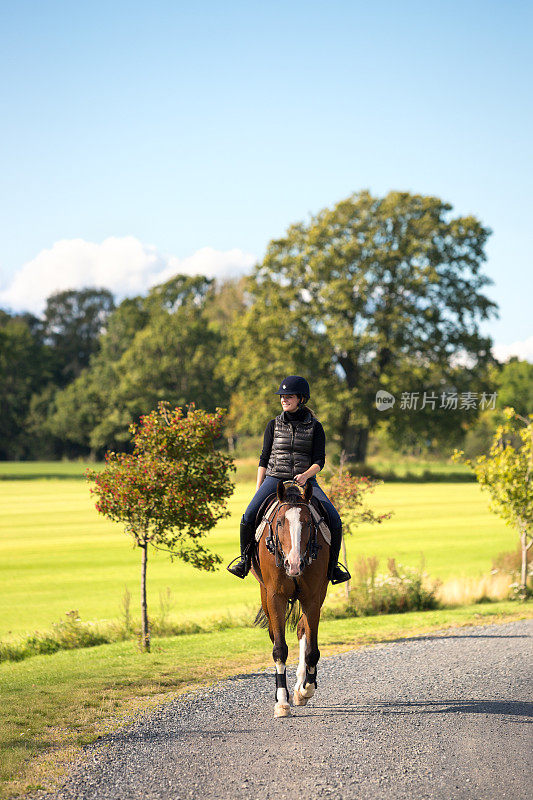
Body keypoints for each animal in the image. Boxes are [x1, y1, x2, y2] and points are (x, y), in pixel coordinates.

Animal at [251, 478, 330, 716]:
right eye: (279, 523)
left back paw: (301, 687)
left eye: (308, 523)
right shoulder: (274, 596)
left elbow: (312, 650)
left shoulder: (313, 597)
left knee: (303, 630)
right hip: (265, 596)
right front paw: (282, 702)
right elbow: (279, 648)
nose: (294, 564)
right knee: (275, 635)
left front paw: (306, 689)